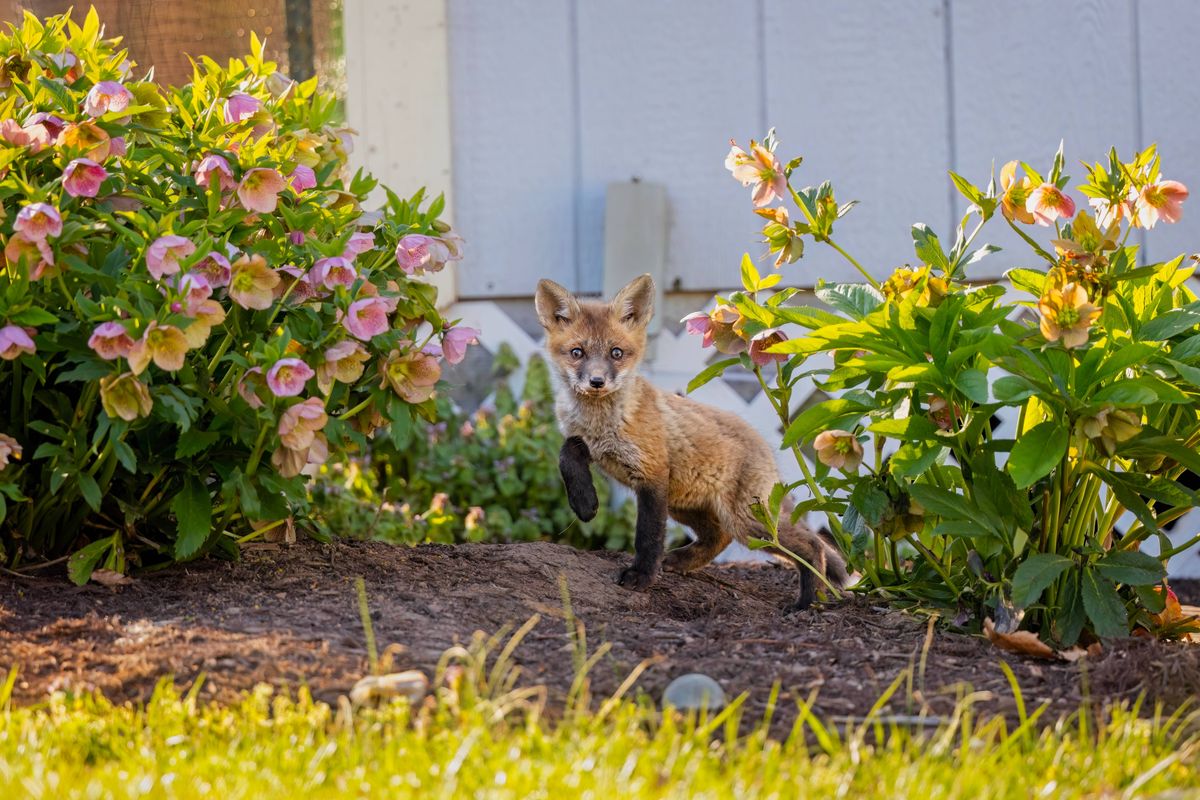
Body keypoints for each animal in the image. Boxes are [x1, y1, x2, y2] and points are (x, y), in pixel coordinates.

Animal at [535, 274, 848, 610]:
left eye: (616, 353)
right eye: (577, 352)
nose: (597, 382)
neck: (601, 423)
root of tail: (765, 444)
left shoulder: (652, 474)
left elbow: (648, 536)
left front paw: (641, 576)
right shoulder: (593, 448)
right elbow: (567, 453)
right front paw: (584, 503)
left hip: (746, 521)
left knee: (812, 544)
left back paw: (808, 601)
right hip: (687, 506)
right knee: (718, 537)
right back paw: (683, 561)